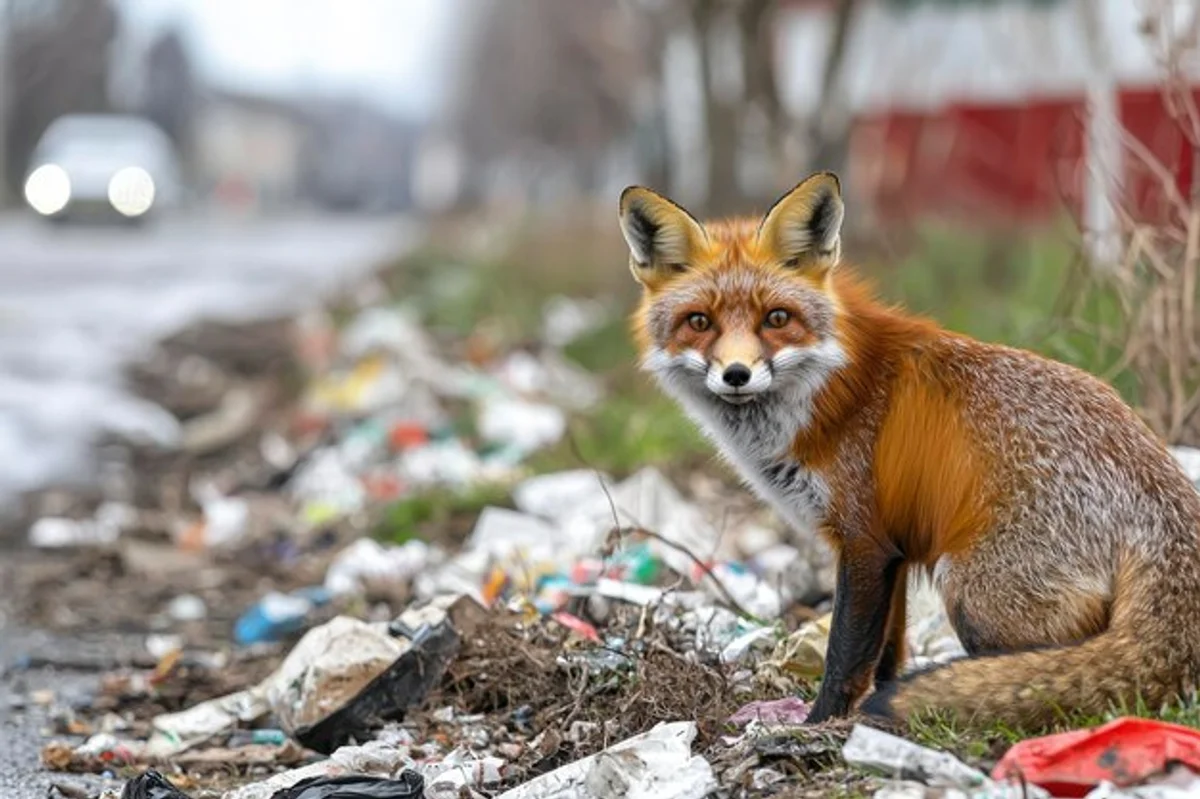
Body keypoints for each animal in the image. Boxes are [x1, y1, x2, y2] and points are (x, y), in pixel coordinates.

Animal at [617, 171, 1200, 728]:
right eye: (699, 322)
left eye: (776, 319)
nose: (736, 374)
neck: (830, 391)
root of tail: (1165, 490)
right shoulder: (891, 550)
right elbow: (887, 654)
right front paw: (866, 714)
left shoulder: (862, 541)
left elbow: (845, 655)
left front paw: (819, 723)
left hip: (972, 591)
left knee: (1058, 667)